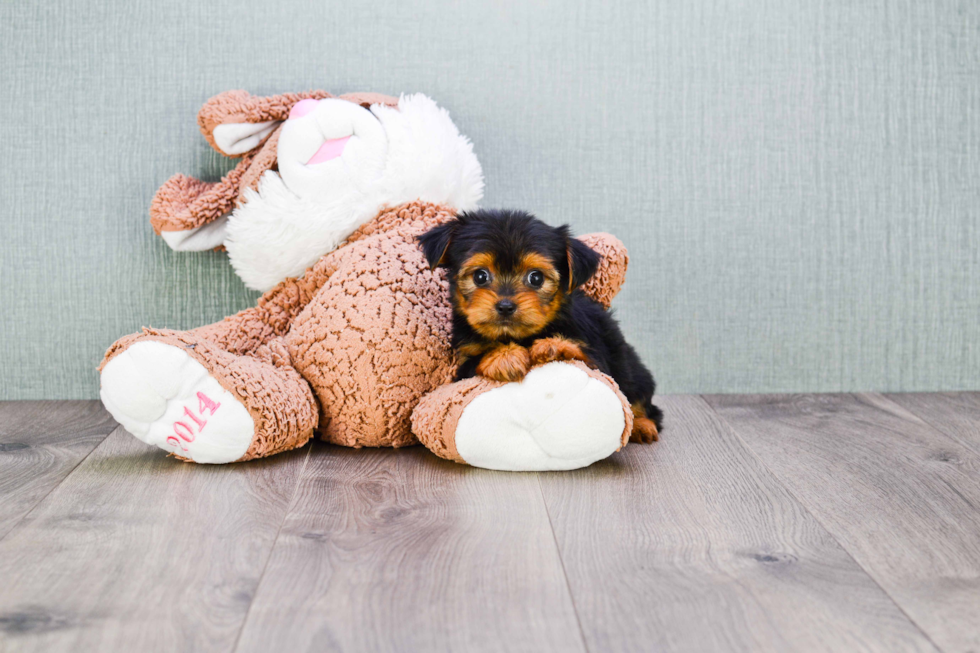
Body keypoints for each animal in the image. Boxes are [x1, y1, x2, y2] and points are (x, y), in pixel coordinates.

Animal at [418, 209, 664, 444]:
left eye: (536, 278)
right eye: (480, 276)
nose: (505, 306)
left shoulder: (596, 356)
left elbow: (588, 358)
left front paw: (555, 347)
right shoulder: (462, 366)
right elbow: (477, 360)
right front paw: (504, 356)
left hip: (632, 370)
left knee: (643, 402)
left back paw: (643, 426)